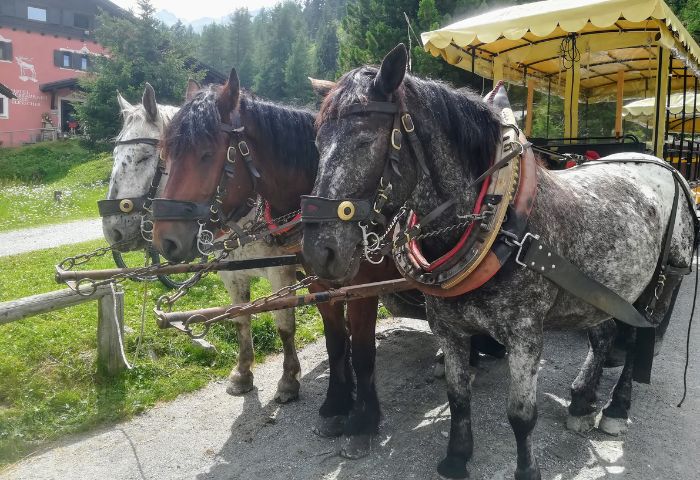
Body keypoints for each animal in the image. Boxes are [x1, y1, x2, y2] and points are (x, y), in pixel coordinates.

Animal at [101, 83, 301, 403]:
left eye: (144, 156)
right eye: (115, 154)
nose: (113, 231)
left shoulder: (281, 271)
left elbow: (285, 322)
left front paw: (289, 379)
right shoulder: (231, 275)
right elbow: (240, 318)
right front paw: (242, 373)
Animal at [149, 69, 506, 459]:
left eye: (206, 154)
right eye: (165, 155)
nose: (165, 239)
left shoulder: (363, 290)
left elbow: (362, 351)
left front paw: (362, 421)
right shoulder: (320, 285)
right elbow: (336, 343)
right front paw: (336, 405)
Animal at [301, 44, 696, 480]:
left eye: (365, 138)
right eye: (316, 142)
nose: (318, 252)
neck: (499, 220)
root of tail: (664, 167)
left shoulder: (525, 336)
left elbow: (521, 415)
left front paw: (527, 470)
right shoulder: (449, 328)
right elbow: (457, 397)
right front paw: (456, 458)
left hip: (662, 283)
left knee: (638, 337)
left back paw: (616, 407)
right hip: (603, 287)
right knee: (603, 334)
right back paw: (583, 399)